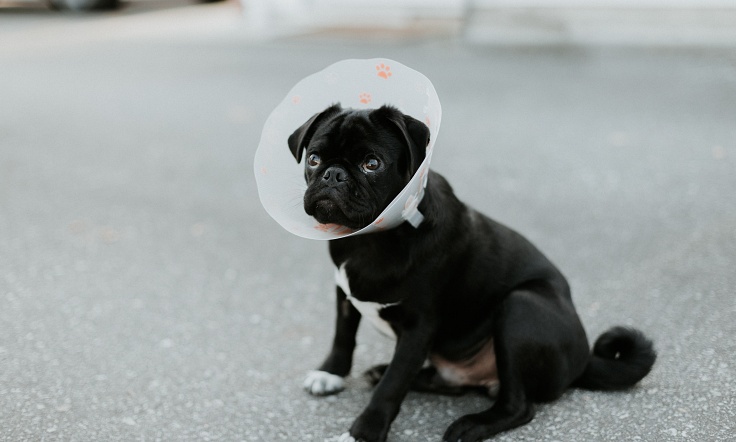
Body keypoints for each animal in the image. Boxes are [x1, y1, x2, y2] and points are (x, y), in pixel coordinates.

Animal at [288, 103, 656, 442]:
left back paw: (470, 425)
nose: (333, 174)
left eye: (372, 164)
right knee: (452, 384)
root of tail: (582, 361)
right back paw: (389, 372)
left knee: (518, 405)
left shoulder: (418, 327)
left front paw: (363, 433)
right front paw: (330, 373)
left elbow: (392, 386)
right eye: (314, 159)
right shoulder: (344, 292)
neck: (369, 239)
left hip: (521, 307)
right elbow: (343, 335)